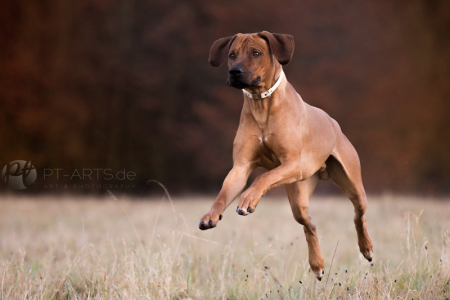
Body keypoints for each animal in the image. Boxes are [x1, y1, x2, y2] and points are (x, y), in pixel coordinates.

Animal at [199, 31, 374, 280]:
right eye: (232, 54)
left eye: (256, 53)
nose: (234, 72)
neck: (262, 104)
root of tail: (333, 123)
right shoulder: (240, 166)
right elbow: (224, 193)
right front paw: (211, 214)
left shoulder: (294, 164)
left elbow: (262, 177)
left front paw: (247, 199)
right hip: (298, 195)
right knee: (309, 225)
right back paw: (317, 264)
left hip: (352, 183)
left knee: (359, 214)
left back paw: (366, 247)